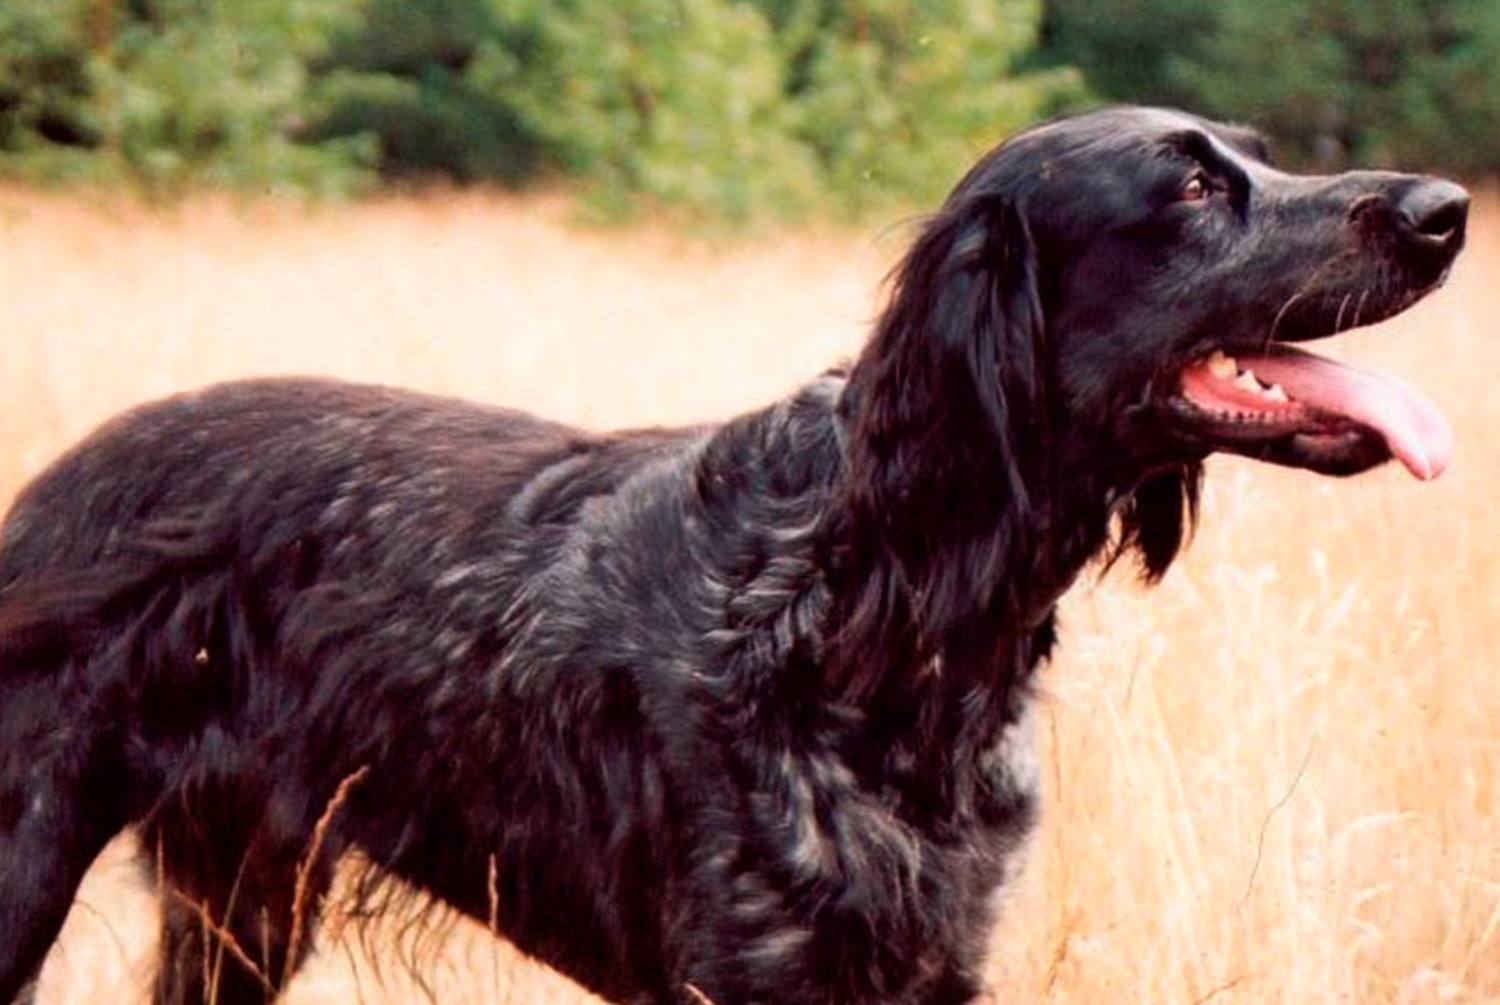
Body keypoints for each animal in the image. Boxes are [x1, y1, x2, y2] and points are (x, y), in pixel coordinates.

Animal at [0, 106, 1464, 1002]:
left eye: (1259, 159)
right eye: (1194, 186)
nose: (1444, 206)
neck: (870, 605)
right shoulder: (750, 961)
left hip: (241, 903)